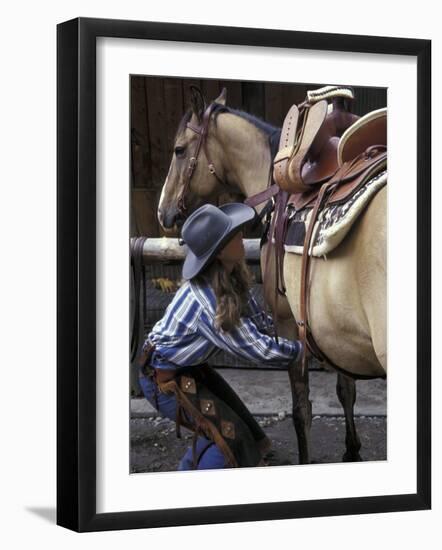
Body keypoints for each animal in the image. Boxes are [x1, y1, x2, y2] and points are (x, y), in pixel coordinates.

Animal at [157, 86, 386, 466]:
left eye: (178, 149)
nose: (163, 212)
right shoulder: (336, 330)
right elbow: (345, 389)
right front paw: (351, 451)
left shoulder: (290, 323)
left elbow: (301, 410)